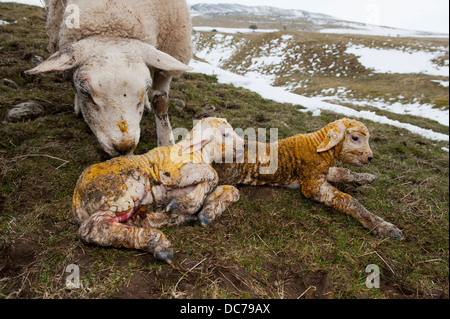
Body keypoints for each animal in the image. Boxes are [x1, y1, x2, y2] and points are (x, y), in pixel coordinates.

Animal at [214, 119, 404, 239]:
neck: (317, 146)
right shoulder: (311, 184)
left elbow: (344, 172)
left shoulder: (323, 170)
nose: (370, 158)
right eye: (355, 138)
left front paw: (366, 178)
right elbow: (348, 200)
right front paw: (383, 227)